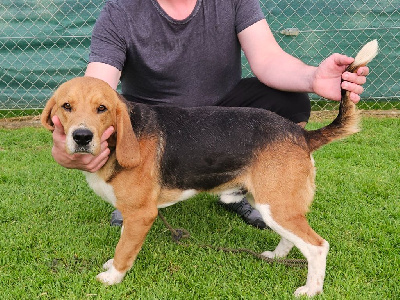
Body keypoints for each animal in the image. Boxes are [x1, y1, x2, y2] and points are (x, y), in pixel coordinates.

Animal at [41, 41, 378, 296]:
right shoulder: (130, 214)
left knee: (317, 247)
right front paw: (112, 267)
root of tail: (300, 134)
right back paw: (277, 256)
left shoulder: (141, 214)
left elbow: (125, 249)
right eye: (66, 107)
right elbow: (123, 241)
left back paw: (311, 290)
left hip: (276, 205)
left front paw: (113, 277)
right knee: (295, 239)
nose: (81, 137)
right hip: (273, 203)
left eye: (102, 109)